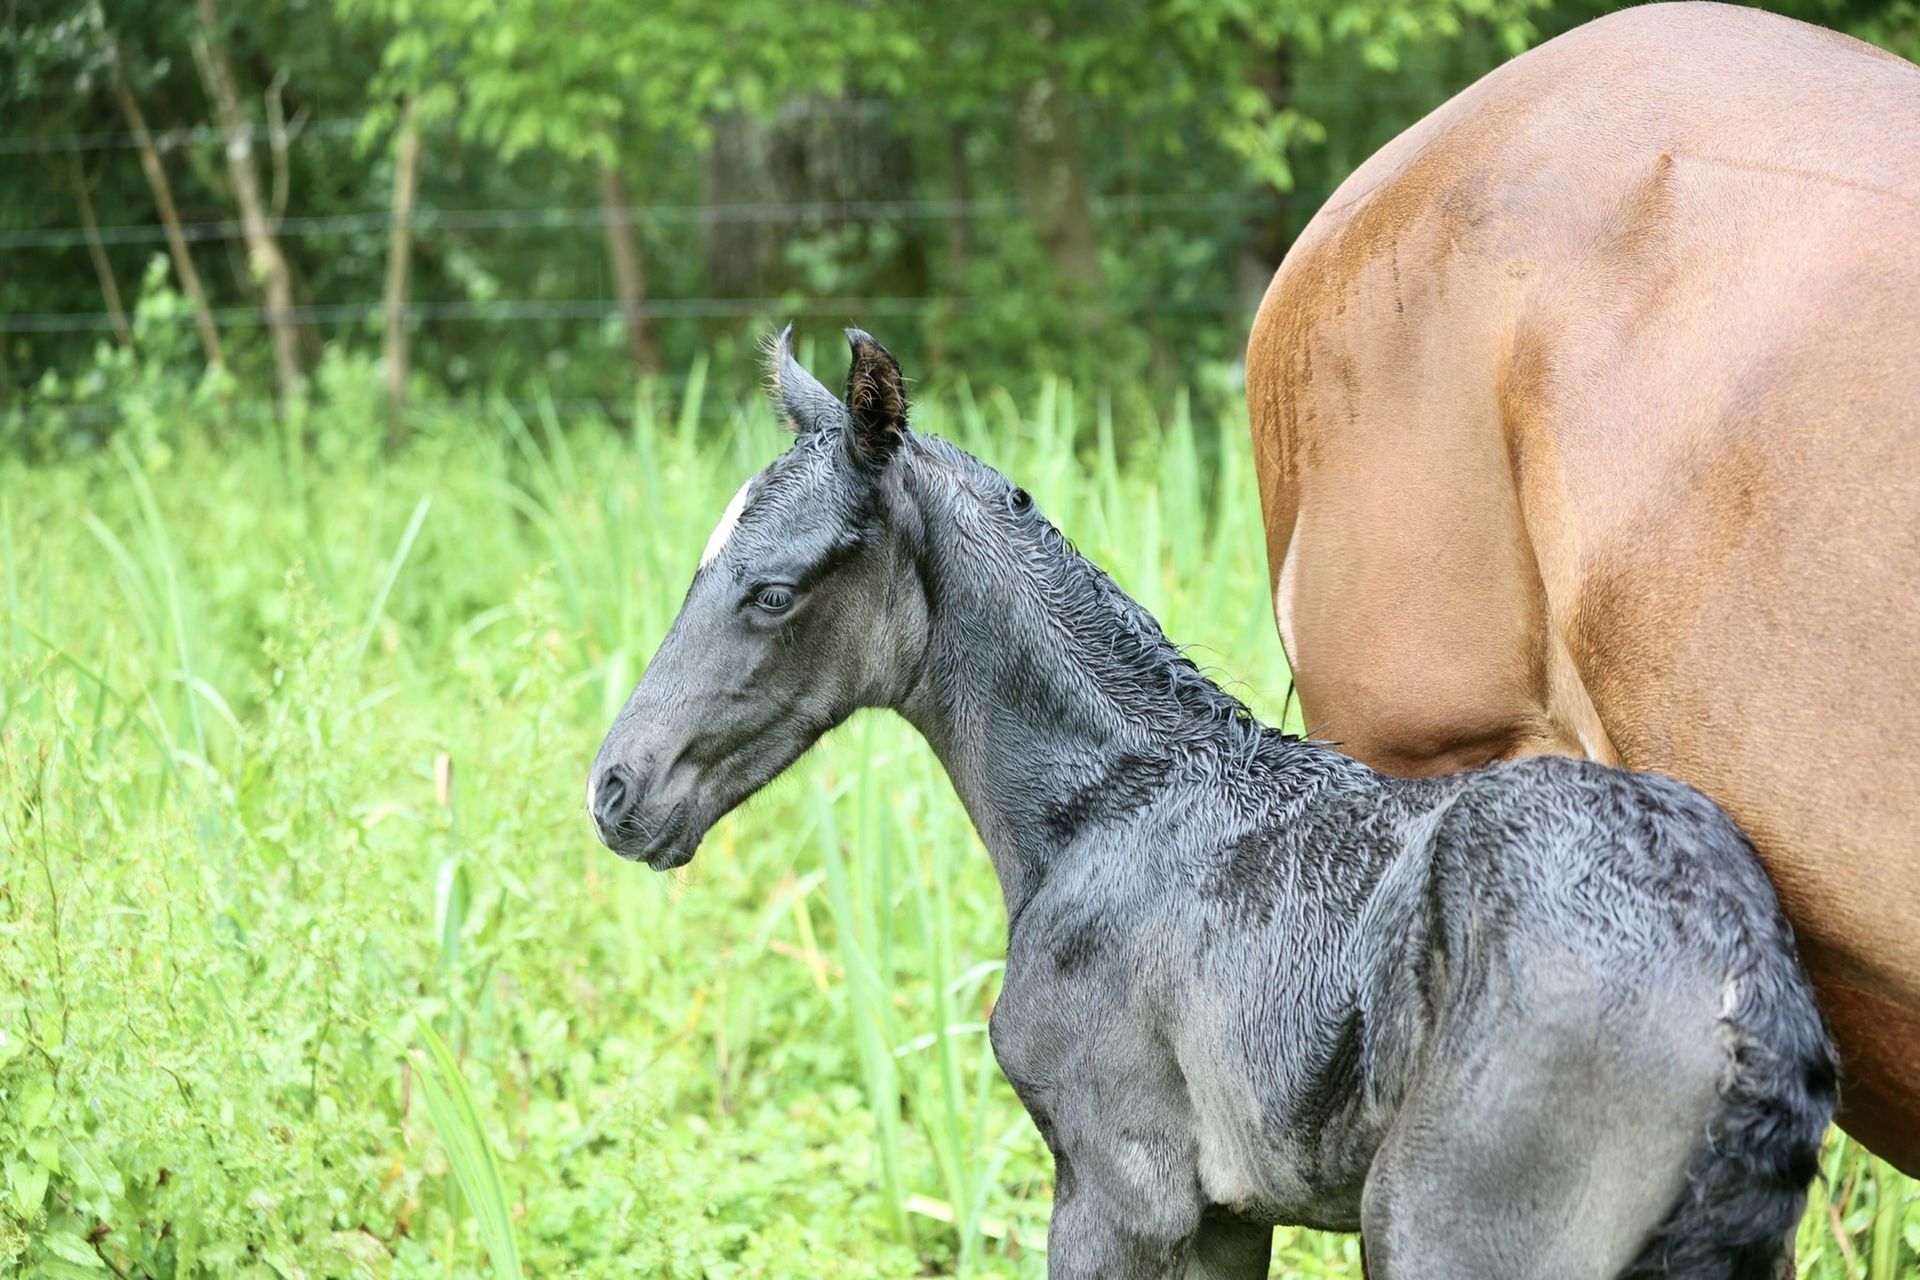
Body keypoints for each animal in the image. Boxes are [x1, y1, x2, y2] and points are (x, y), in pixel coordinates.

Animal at [588, 328, 1833, 1279]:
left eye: (772, 591)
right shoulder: (1229, 1213)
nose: (615, 790)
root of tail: (1744, 988)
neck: (1113, 808)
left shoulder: (1119, 1188)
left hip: (1448, 1229)